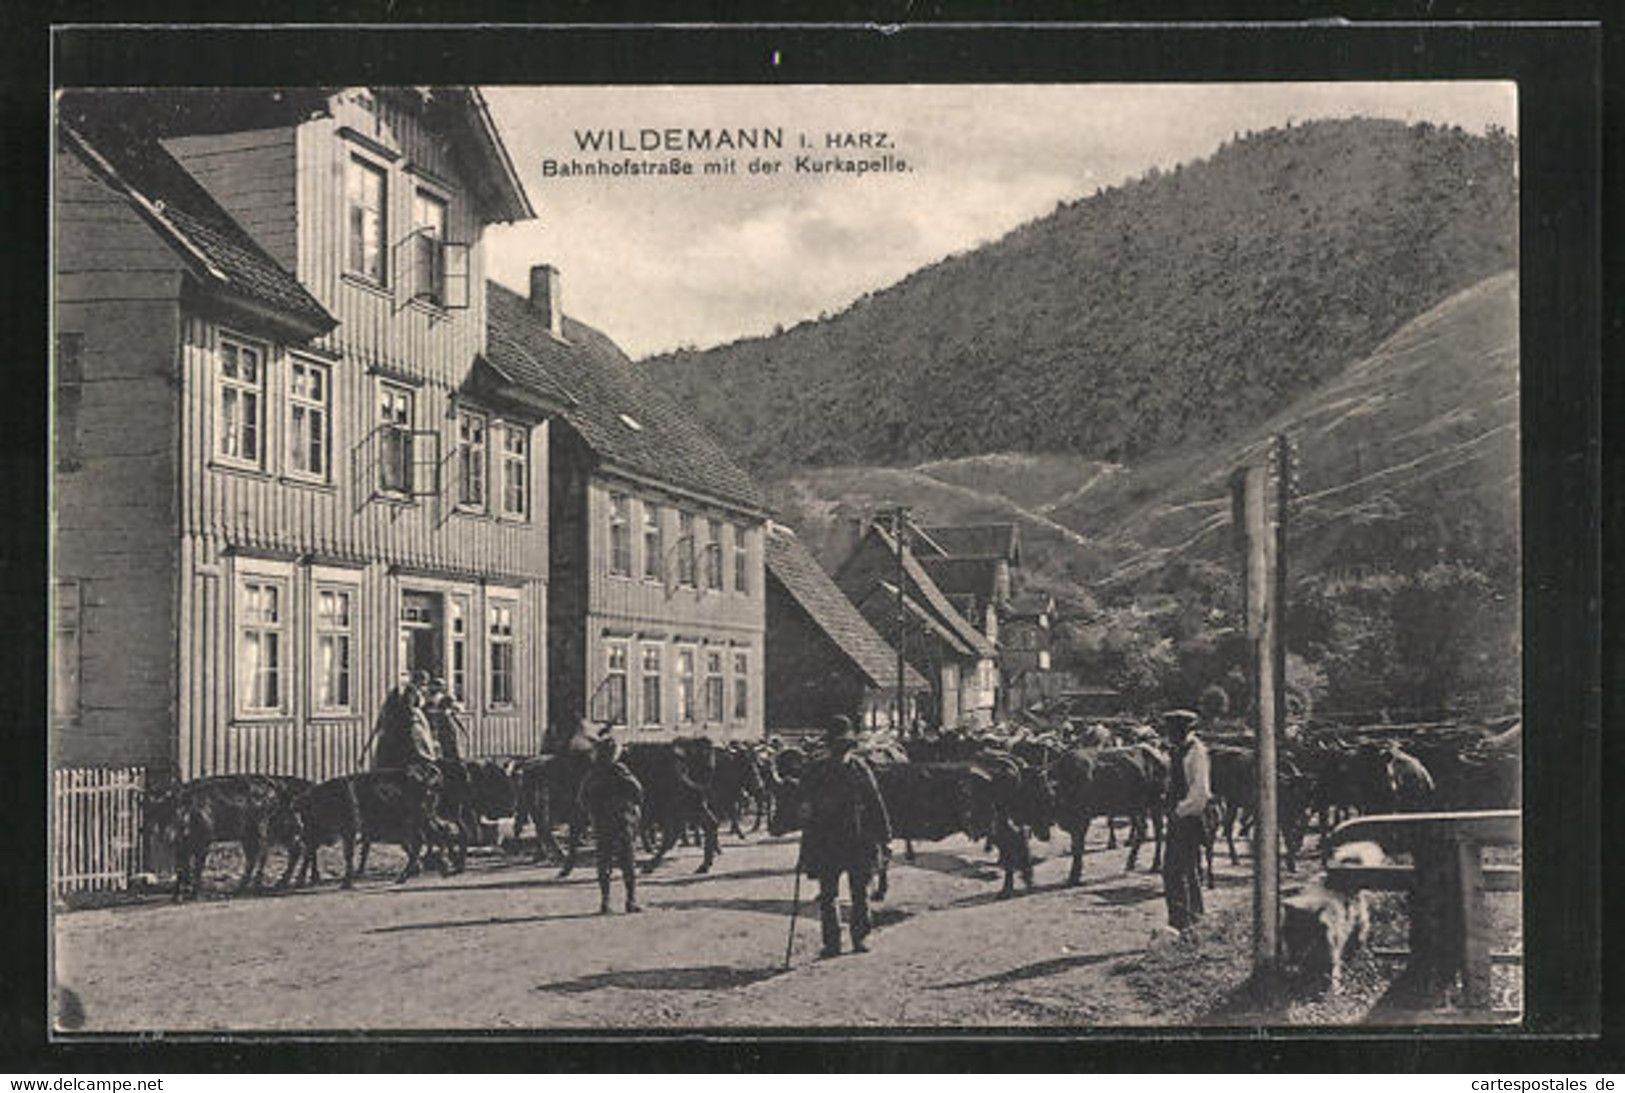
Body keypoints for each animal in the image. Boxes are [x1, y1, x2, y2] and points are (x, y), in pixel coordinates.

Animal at [147, 773, 312, 896]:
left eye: (175, 813)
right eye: (156, 815)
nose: (167, 837)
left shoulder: (204, 842)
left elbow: (197, 867)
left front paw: (194, 893)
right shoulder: (181, 847)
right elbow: (182, 868)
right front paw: (177, 895)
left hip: (262, 831)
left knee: (263, 855)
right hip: (262, 833)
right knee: (293, 849)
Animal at [1280, 838, 1384, 993]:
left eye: (1308, 935)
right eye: (1294, 934)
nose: (1297, 953)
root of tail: (1347, 866)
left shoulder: (1332, 950)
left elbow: (1332, 968)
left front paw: (1334, 988)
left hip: (1359, 919)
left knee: (1362, 932)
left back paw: (1360, 949)